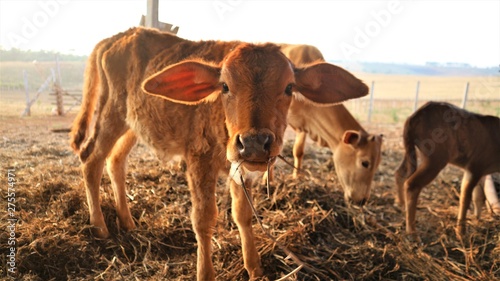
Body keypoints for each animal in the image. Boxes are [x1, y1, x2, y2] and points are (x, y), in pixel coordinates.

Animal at [70, 26, 368, 280]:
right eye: (224, 86)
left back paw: (127, 221)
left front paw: (255, 268)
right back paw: (100, 226)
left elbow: (243, 214)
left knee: (115, 161)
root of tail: (114, 39)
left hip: (134, 123)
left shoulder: (242, 169)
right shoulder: (198, 159)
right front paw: (205, 273)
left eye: (289, 87)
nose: (254, 142)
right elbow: (203, 219)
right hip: (112, 112)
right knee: (91, 160)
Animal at [278, 44, 382, 206]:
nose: (362, 200)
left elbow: (298, 151)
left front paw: (296, 178)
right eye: (365, 163)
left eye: (378, 164)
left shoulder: (304, 125)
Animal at [394, 100, 500, 234]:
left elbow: (477, 195)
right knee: (412, 184)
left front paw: (477, 219)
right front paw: (461, 232)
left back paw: (400, 204)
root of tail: (414, 116)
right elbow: (465, 197)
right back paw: (412, 232)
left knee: (401, 172)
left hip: (412, 151)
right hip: (435, 159)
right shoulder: (475, 166)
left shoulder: (482, 172)